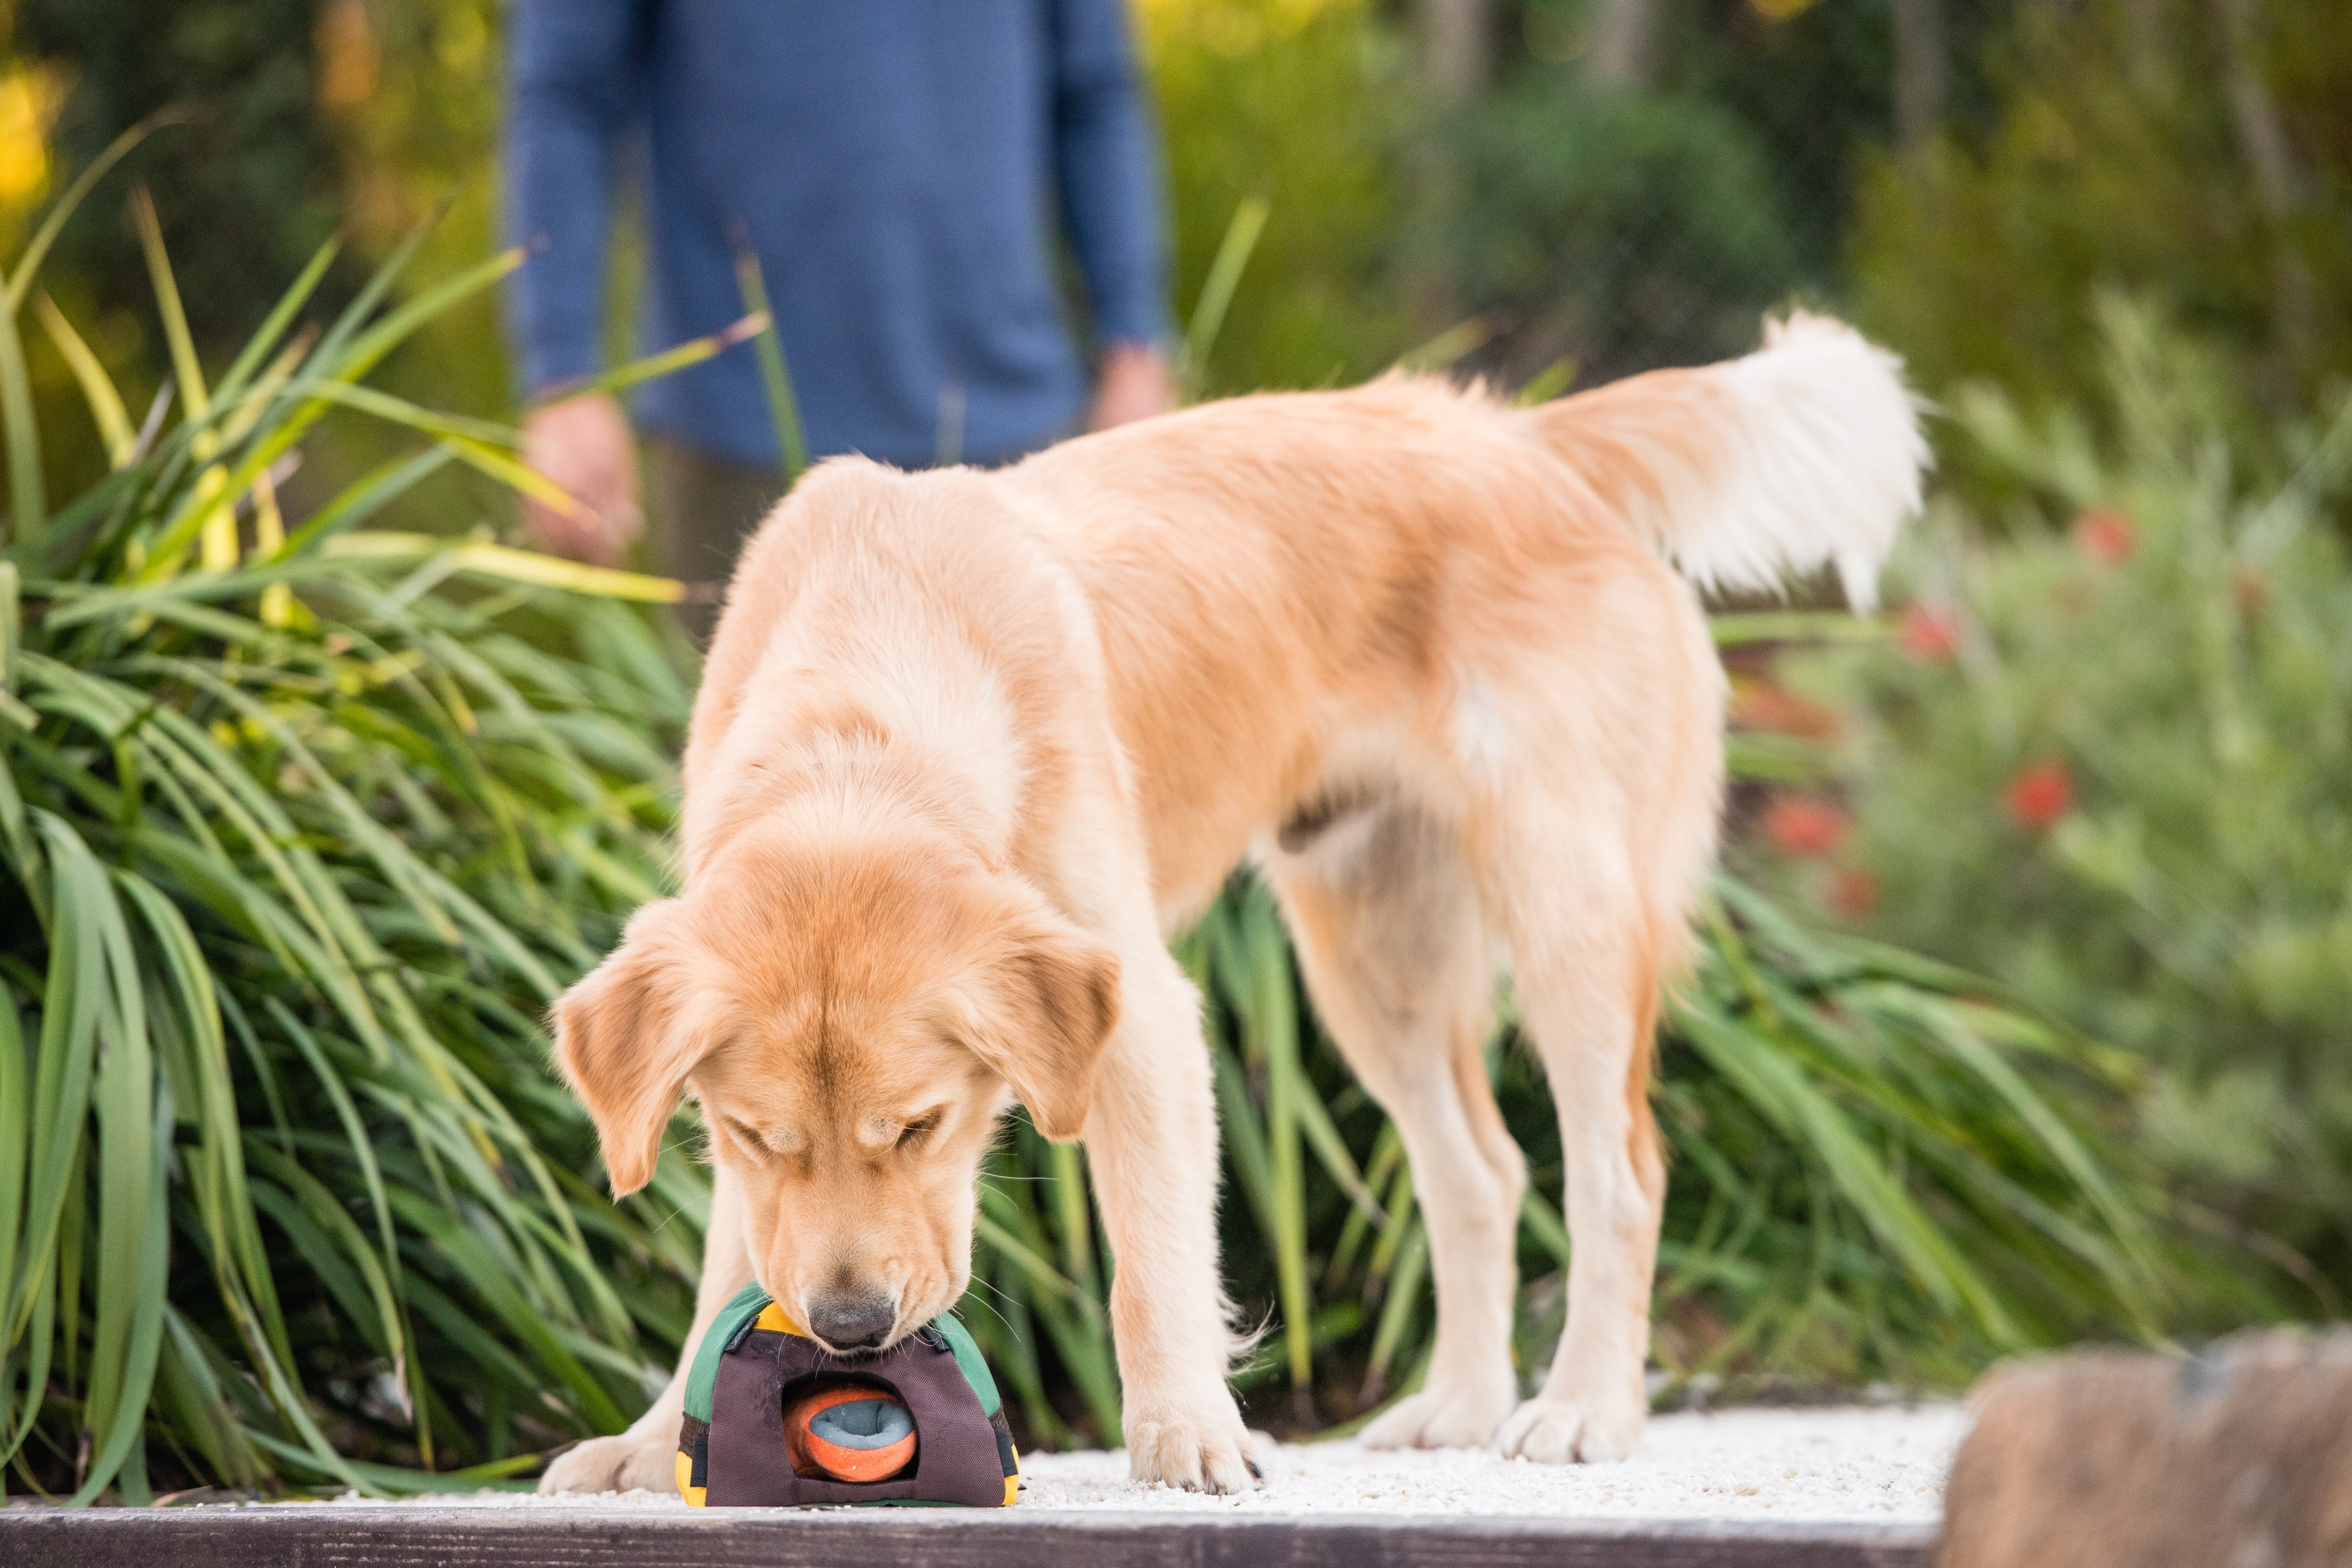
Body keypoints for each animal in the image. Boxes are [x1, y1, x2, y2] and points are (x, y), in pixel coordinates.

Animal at [541, 315, 1919, 1495]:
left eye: (923, 1126)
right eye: (758, 1137)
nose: (845, 1329)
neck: (870, 683)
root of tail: (1523, 438)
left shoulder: (1141, 1018)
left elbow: (1152, 1264)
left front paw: (1187, 1434)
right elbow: (727, 1269)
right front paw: (659, 1440)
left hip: (1563, 911)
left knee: (1616, 1173)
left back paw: (1583, 1407)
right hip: (1370, 964)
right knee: (1480, 1174)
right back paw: (1460, 1405)